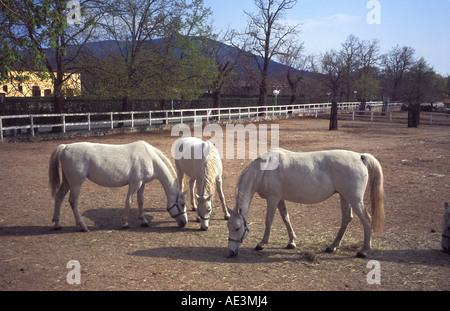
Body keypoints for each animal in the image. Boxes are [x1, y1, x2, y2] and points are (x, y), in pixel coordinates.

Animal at [49, 141, 188, 232]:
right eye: (182, 204)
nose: (184, 223)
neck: (150, 158)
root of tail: (66, 147)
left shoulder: (142, 184)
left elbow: (140, 201)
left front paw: (143, 221)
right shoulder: (135, 183)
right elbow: (129, 201)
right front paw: (125, 223)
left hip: (67, 182)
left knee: (59, 197)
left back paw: (57, 224)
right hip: (76, 183)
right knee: (73, 201)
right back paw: (82, 226)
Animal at [227, 149, 384, 258]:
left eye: (237, 228)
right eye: (228, 227)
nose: (231, 252)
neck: (264, 169)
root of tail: (360, 157)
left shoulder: (272, 199)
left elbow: (269, 221)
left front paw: (262, 243)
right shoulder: (280, 199)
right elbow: (286, 218)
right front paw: (291, 242)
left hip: (355, 200)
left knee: (366, 220)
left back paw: (363, 251)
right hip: (345, 197)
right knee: (346, 218)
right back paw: (332, 246)